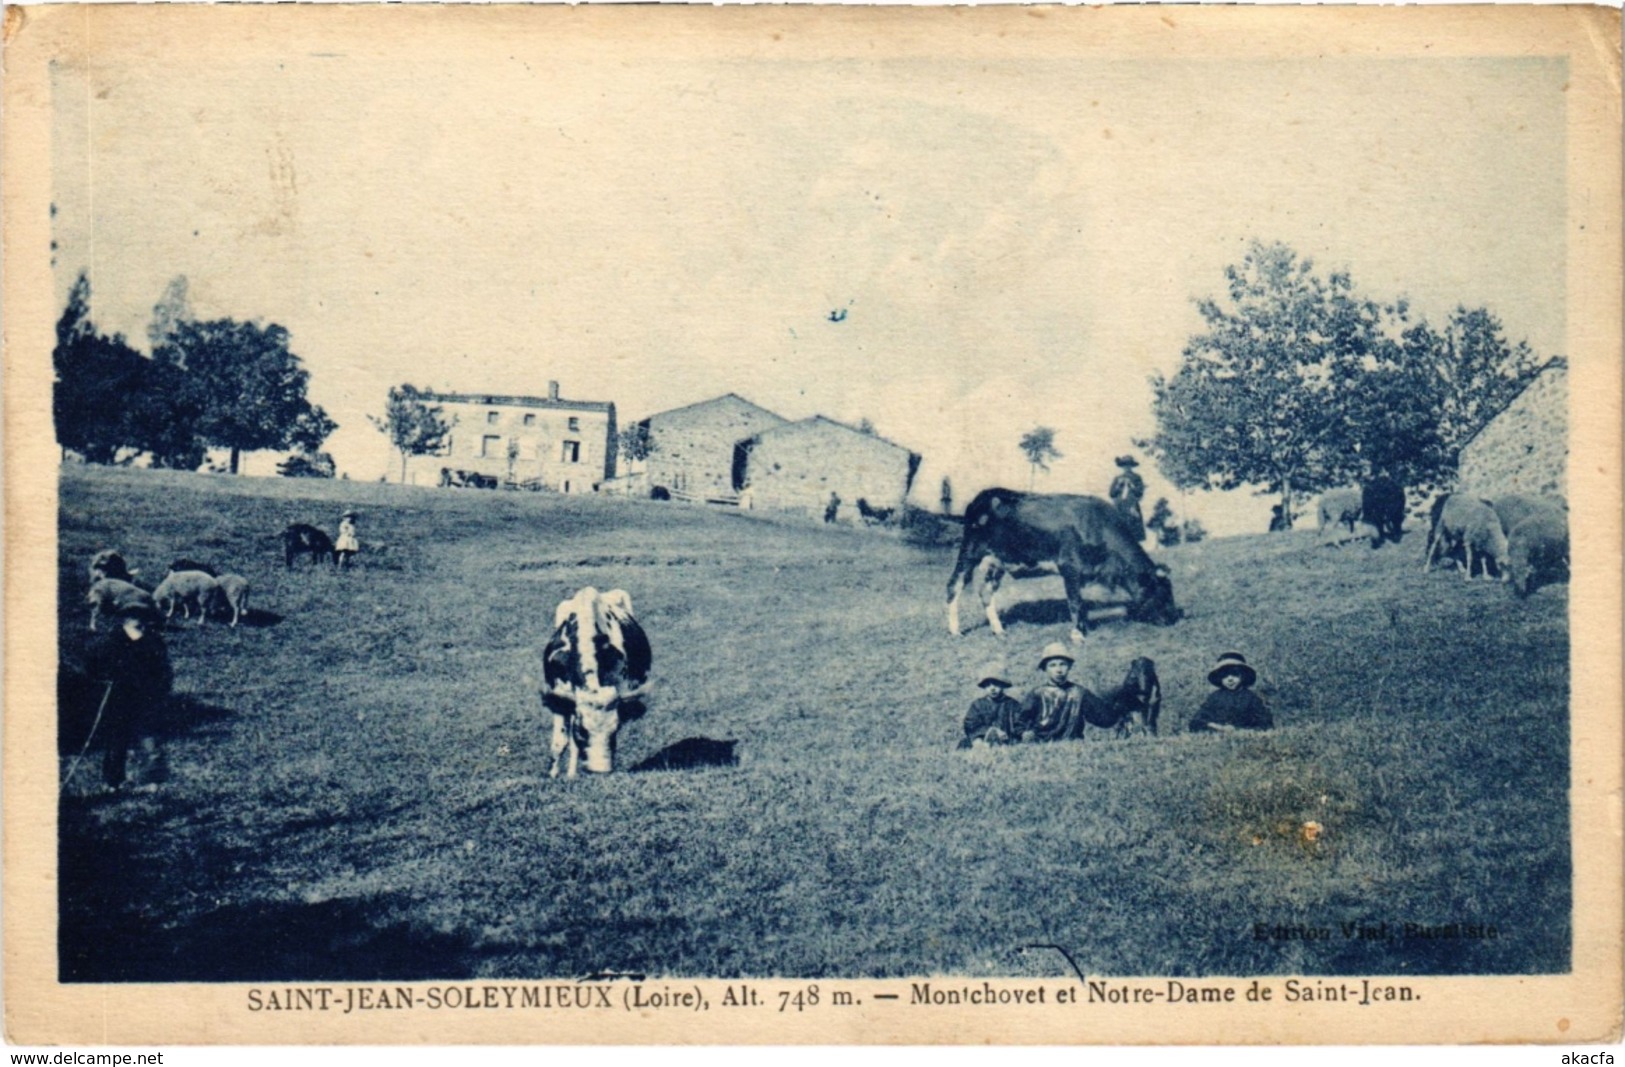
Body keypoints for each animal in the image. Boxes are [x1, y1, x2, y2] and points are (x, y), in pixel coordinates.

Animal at [539, 581, 653, 773]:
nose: (600, 770)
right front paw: (555, 774)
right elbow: (560, 742)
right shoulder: (559, 696)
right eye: (582, 731)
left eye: (615, 730)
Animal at [942, 490, 1183, 639]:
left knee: (986, 592)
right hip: (970, 551)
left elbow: (1081, 603)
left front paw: (1085, 627)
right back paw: (955, 631)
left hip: (997, 561)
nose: (1173, 618)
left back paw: (999, 630)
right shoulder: (1069, 566)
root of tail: (981, 497)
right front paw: (1077, 634)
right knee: (954, 585)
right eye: (1161, 591)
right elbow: (1075, 602)